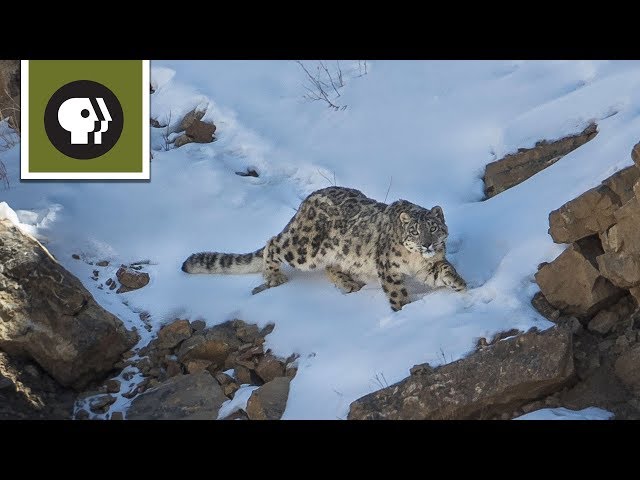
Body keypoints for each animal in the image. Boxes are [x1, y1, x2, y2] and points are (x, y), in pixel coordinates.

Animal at [182, 188, 468, 312]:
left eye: (433, 227)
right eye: (414, 232)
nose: (426, 244)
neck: (415, 259)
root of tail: (306, 202)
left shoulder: (425, 267)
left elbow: (442, 268)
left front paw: (459, 283)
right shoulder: (389, 268)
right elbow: (397, 293)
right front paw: (405, 311)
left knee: (331, 265)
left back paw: (348, 282)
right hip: (303, 248)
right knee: (273, 242)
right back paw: (274, 276)